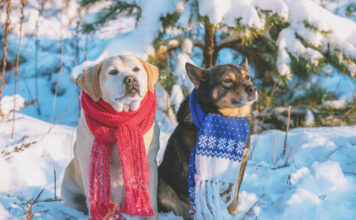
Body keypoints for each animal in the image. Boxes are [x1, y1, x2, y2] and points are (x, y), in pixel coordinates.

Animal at [62, 55, 160, 220]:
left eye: (136, 69)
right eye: (113, 72)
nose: (131, 79)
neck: (122, 118)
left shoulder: (150, 163)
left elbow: (151, 200)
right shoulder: (87, 164)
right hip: (68, 190)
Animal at [157, 58, 258, 218]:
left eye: (247, 77)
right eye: (228, 80)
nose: (253, 89)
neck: (228, 120)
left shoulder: (237, 168)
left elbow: (232, 201)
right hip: (162, 185)